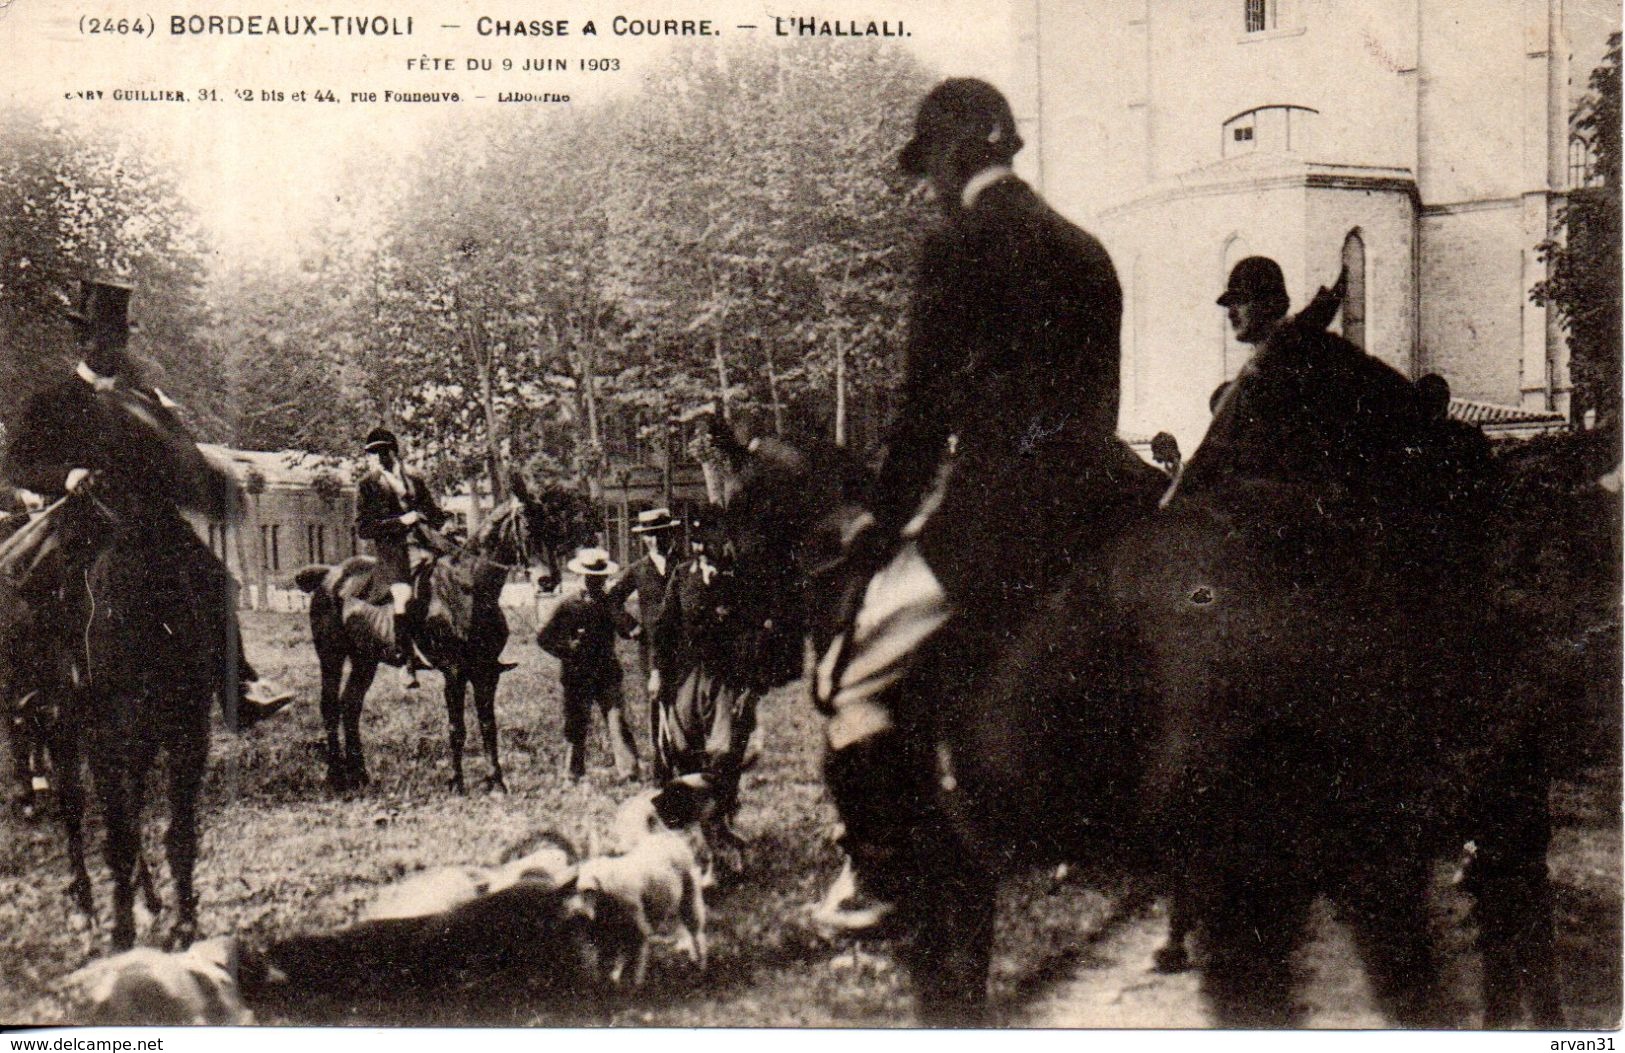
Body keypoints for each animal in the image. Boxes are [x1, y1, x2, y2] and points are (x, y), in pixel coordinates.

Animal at [295, 481, 562, 793]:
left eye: (553, 526)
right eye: (529, 527)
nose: (549, 580)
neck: (468, 589)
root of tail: (330, 575)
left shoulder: (486, 672)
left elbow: (488, 725)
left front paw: (496, 782)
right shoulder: (454, 672)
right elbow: (457, 728)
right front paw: (457, 783)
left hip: (365, 659)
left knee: (351, 705)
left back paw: (360, 775)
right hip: (331, 656)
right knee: (329, 707)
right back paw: (336, 776)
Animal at [721, 422, 1560, 1027]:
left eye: (724, 521)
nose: (747, 655)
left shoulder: (940, 878)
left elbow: (947, 993)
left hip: (1251, 869)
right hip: (1367, 856)